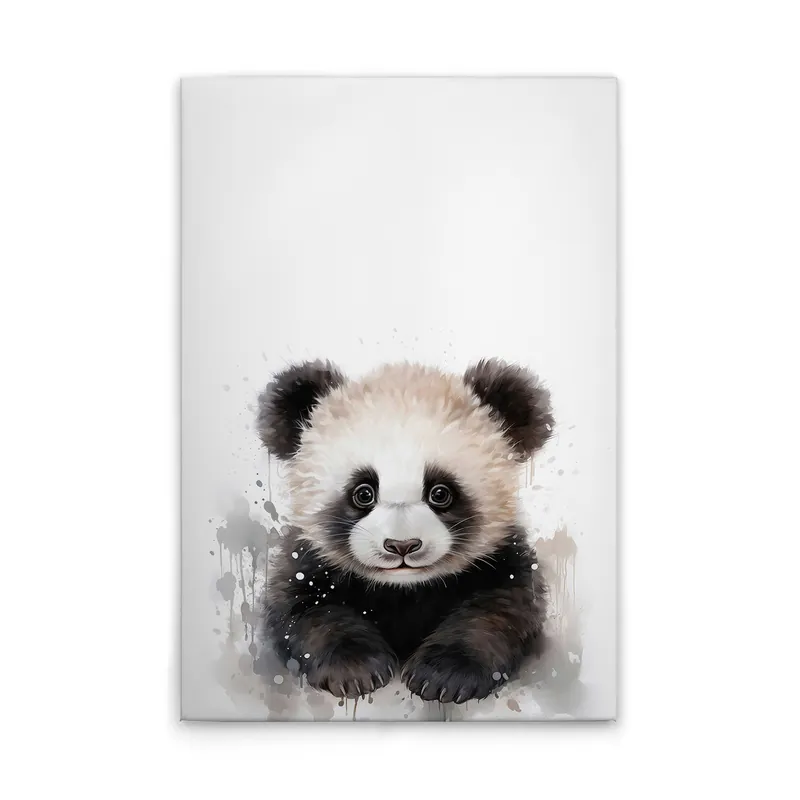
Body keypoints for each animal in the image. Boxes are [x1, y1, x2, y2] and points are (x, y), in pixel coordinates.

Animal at [256, 358, 554, 704]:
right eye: (363, 493)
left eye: (440, 493)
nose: (402, 545)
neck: (403, 588)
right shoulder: (308, 557)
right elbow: (304, 608)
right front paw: (355, 668)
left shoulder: (501, 556)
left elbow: (499, 610)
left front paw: (444, 675)